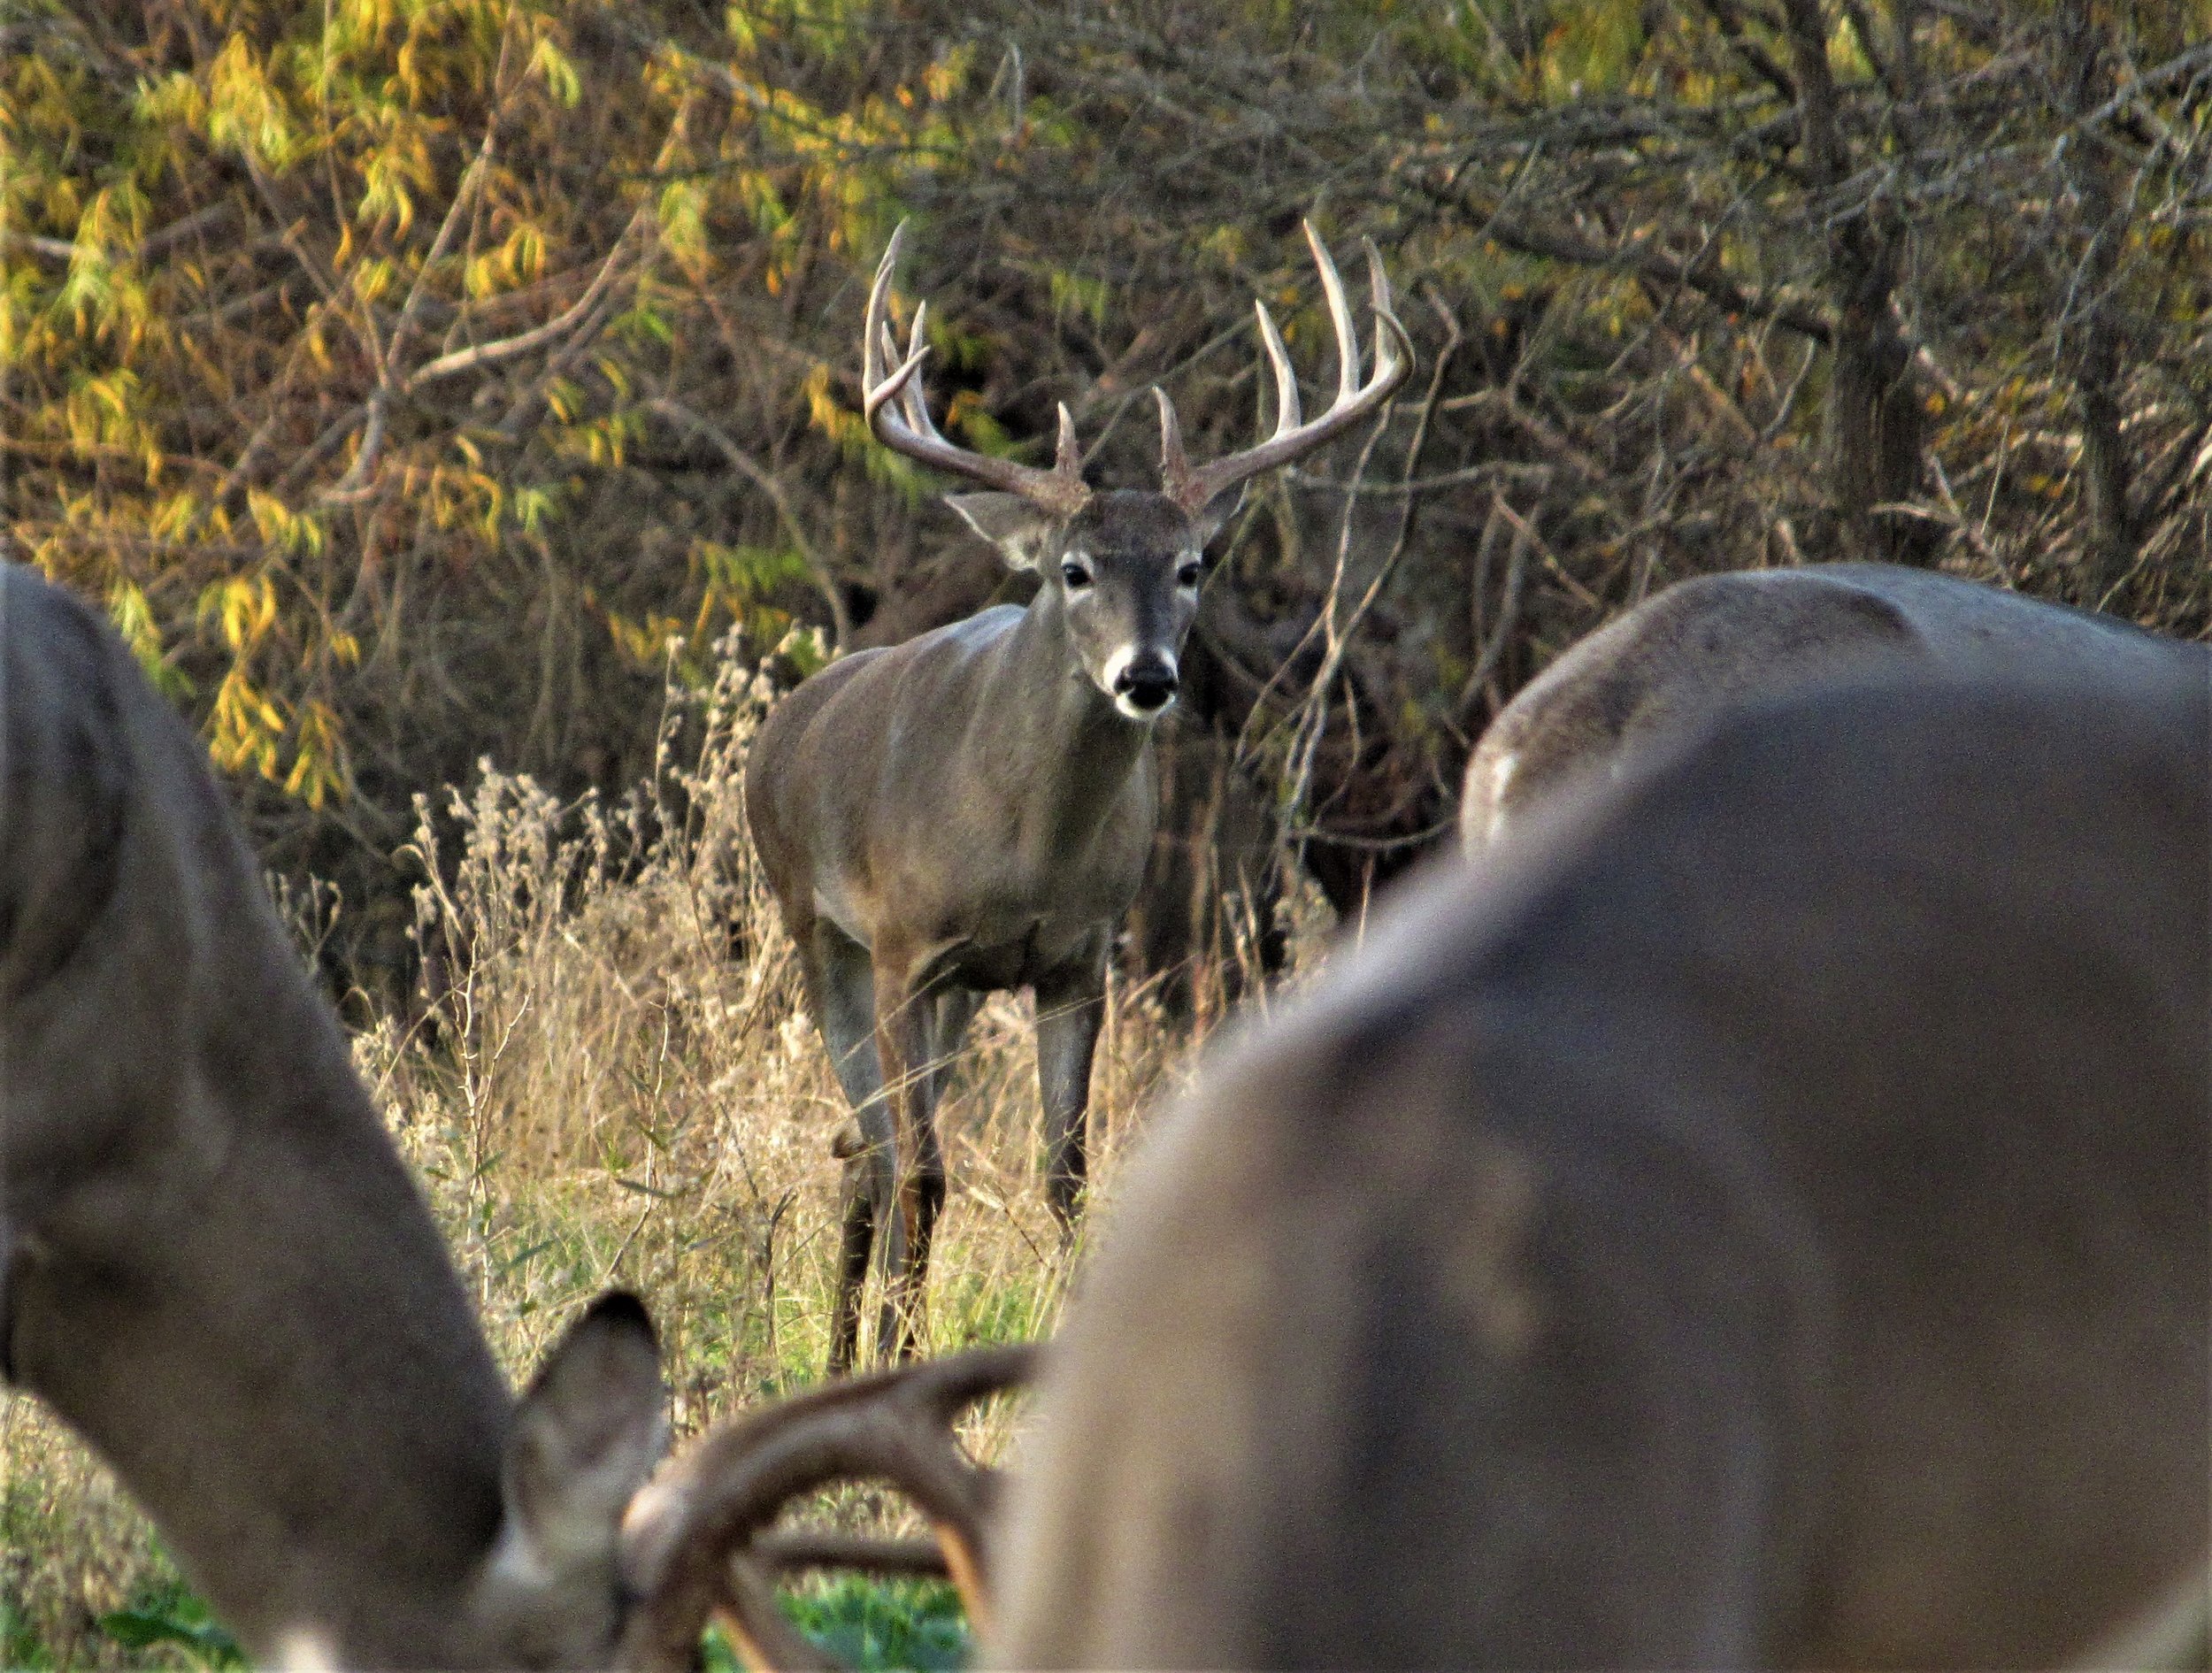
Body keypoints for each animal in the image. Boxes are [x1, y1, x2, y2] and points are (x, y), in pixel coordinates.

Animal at [739, 222, 1398, 1371]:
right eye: (1076, 569)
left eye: (1191, 566)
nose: (1147, 676)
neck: (1025, 850)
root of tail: (780, 730)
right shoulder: (907, 946)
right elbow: (927, 1172)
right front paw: (908, 1354)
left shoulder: (1078, 957)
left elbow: (1066, 1172)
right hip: (817, 932)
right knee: (876, 1149)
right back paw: (846, 1357)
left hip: (951, 992)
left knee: (864, 1146)